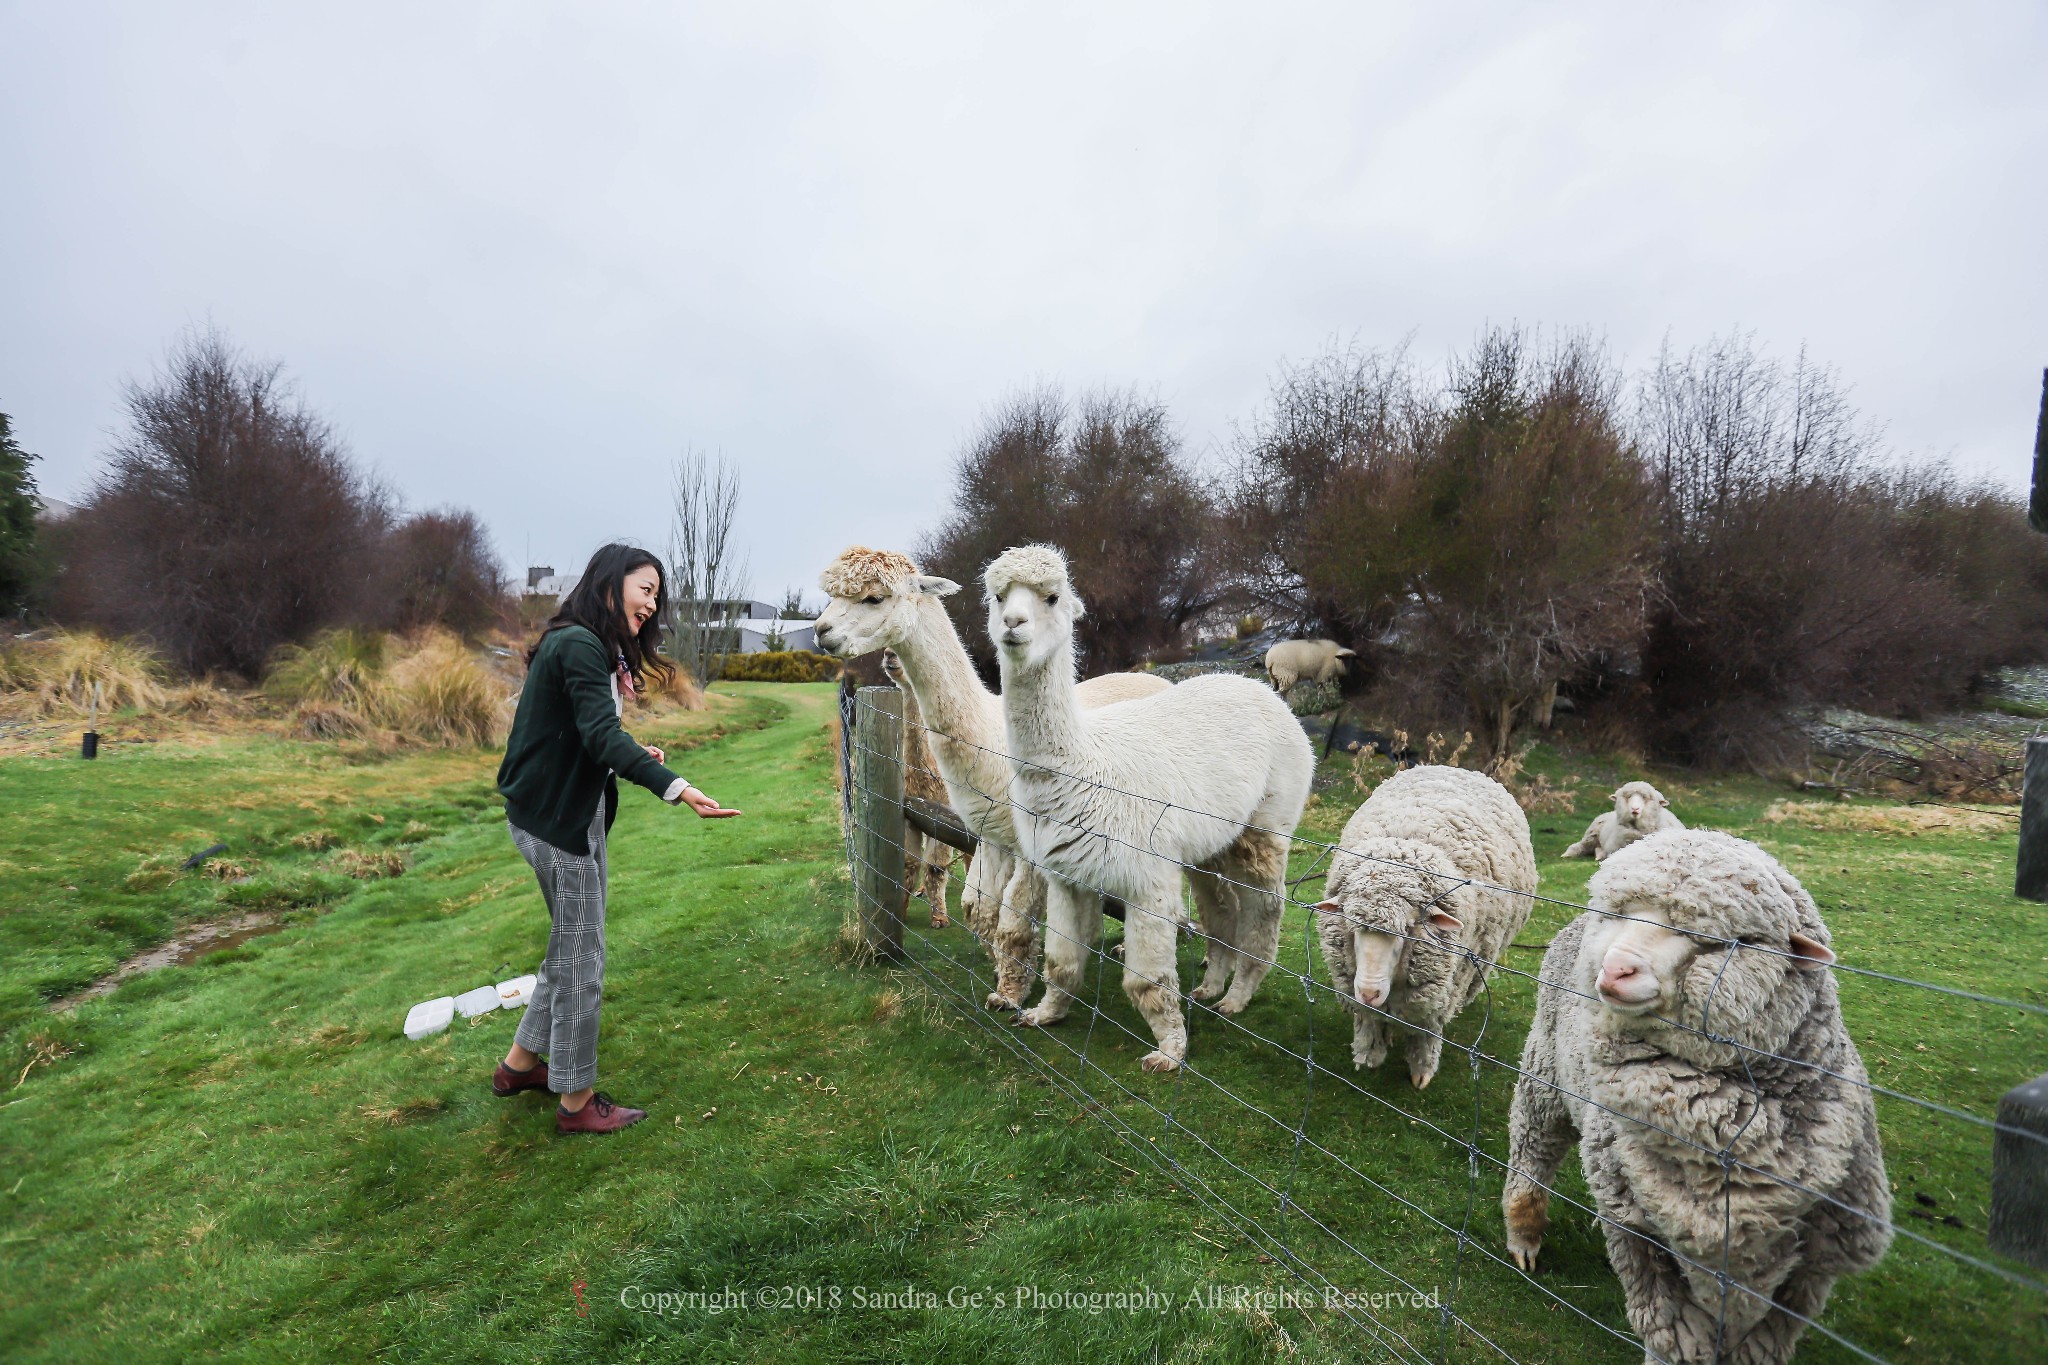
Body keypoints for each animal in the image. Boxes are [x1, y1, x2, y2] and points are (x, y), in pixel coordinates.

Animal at [1310, 769, 1540, 1088]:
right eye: (1352, 928)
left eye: (1406, 930)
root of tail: (1457, 769)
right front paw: (1370, 1054)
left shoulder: (1439, 992)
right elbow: (1369, 1022)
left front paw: (1421, 1071)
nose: (1367, 993)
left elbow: (1426, 1030)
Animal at [1507, 834, 1884, 1365]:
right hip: (1544, 1075)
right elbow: (1676, 1338)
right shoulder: (1638, 1233)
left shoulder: (1811, 1269)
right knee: (1533, 1147)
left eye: (1710, 937)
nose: (1615, 970)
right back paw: (1523, 1232)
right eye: (1620, 914)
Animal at [1556, 785, 1687, 859]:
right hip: (1591, 835)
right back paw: (1567, 854)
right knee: (1580, 846)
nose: (1635, 809)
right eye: (1628, 797)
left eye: (1645, 798)